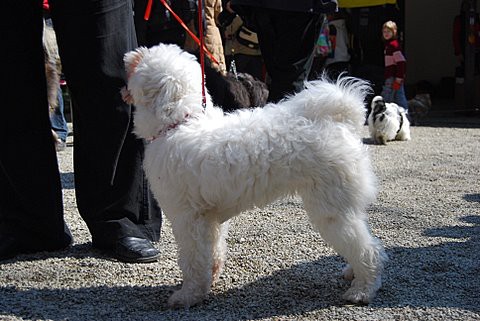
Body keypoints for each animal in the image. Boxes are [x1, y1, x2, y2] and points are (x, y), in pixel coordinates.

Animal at [123, 43, 386, 306]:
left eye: (138, 63)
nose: (128, 57)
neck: (179, 123)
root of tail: (340, 121)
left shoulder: (188, 218)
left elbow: (193, 260)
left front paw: (188, 295)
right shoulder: (209, 218)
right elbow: (213, 251)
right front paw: (211, 278)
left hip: (332, 209)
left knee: (368, 249)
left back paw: (362, 290)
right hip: (341, 206)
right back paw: (353, 273)